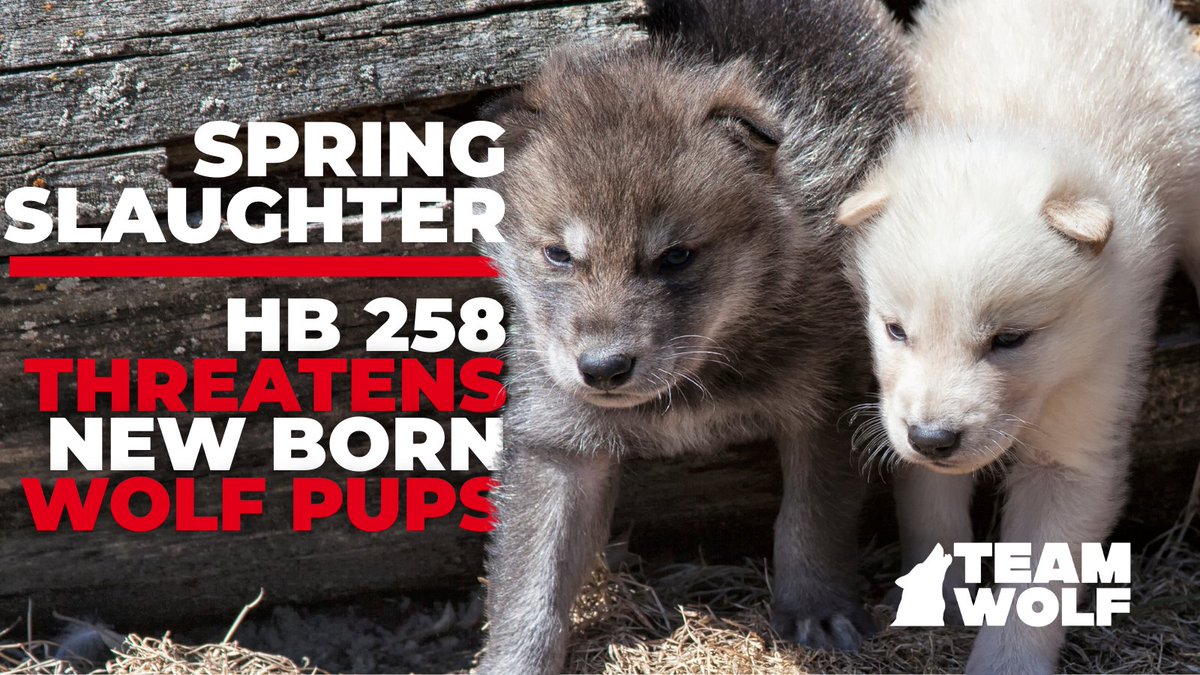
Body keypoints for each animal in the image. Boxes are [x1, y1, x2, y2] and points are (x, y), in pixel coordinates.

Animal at [474, 0, 909, 671]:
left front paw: (818, 611)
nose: (602, 369)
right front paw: (513, 661)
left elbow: (811, 522)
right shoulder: (555, 440)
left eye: (676, 256)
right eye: (558, 254)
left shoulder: (827, 404)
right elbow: (531, 580)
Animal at [837, 1, 1200, 672]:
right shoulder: (907, 423)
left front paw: (1005, 659)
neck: (1014, 123)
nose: (933, 438)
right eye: (895, 330)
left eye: (1010, 339)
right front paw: (940, 600)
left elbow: (1038, 580)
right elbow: (931, 512)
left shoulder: (1088, 405)